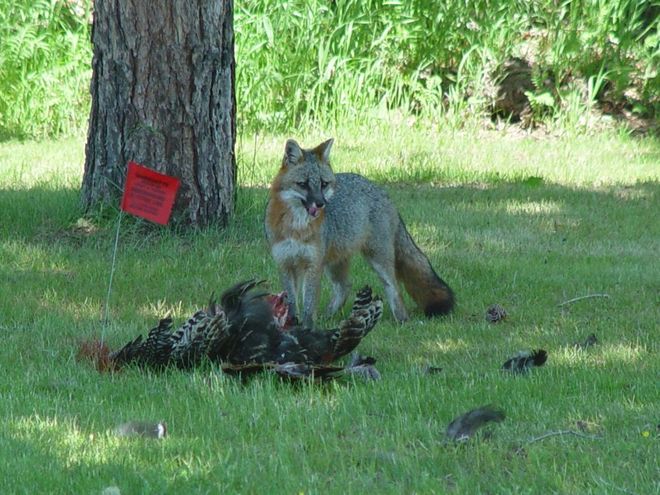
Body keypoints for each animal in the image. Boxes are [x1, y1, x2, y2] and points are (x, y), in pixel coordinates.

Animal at [264, 138, 455, 328]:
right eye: (303, 184)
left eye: (323, 184)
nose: (321, 203)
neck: (296, 227)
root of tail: (380, 190)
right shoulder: (285, 264)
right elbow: (291, 302)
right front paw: (290, 326)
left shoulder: (313, 264)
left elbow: (309, 306)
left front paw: (307, 328)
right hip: (334, 263)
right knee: (345, 286)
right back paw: (329, 316)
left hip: (377, 259)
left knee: (394, 288)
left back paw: (402, 320)